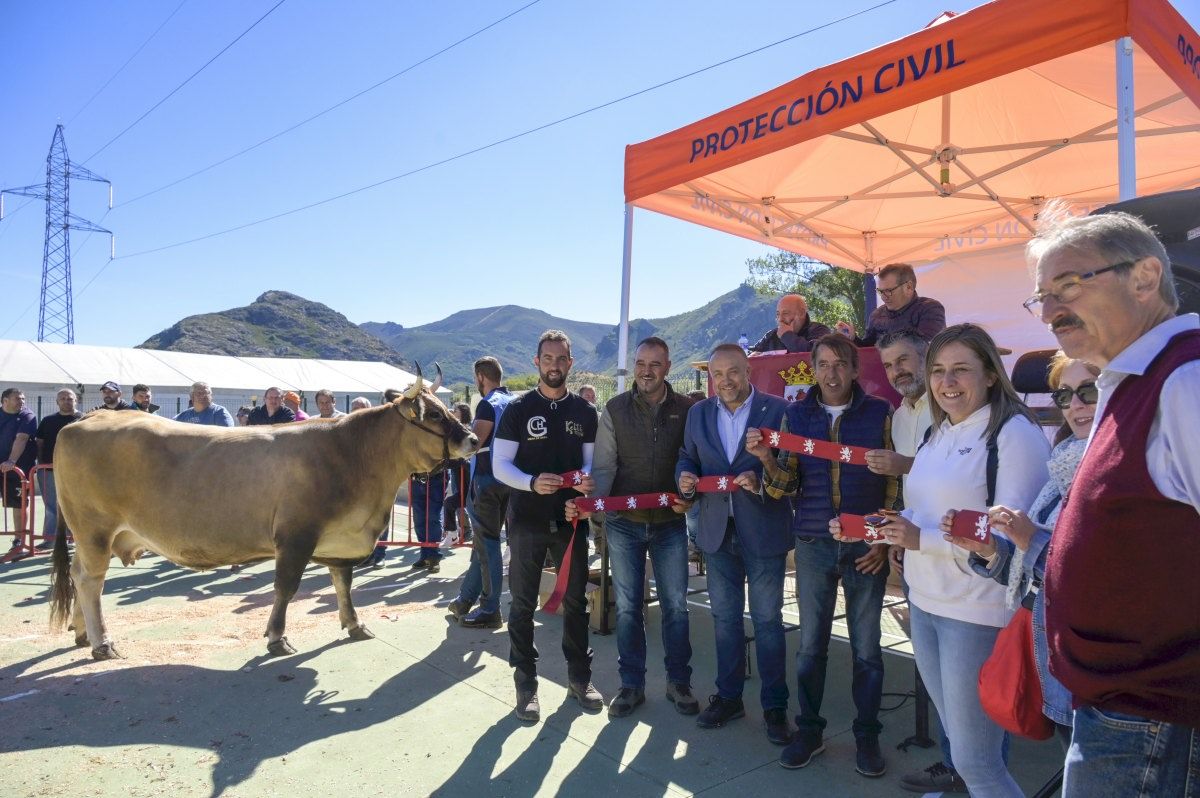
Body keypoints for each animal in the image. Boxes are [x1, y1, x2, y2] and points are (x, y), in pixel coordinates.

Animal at [50, 367, 477, 657]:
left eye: (446, 409)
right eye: (433, 415)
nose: (473, 439)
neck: (352, 455)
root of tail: (91, 416)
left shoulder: (341, 538)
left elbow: (343, 584)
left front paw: (355, 625)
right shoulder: (295, 536)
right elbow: (286, 588)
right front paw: (277, 637)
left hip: (94, 535)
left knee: (79, 575)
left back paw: (83, 633)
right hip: (93, 529)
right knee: (89, 580)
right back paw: (102, 643)